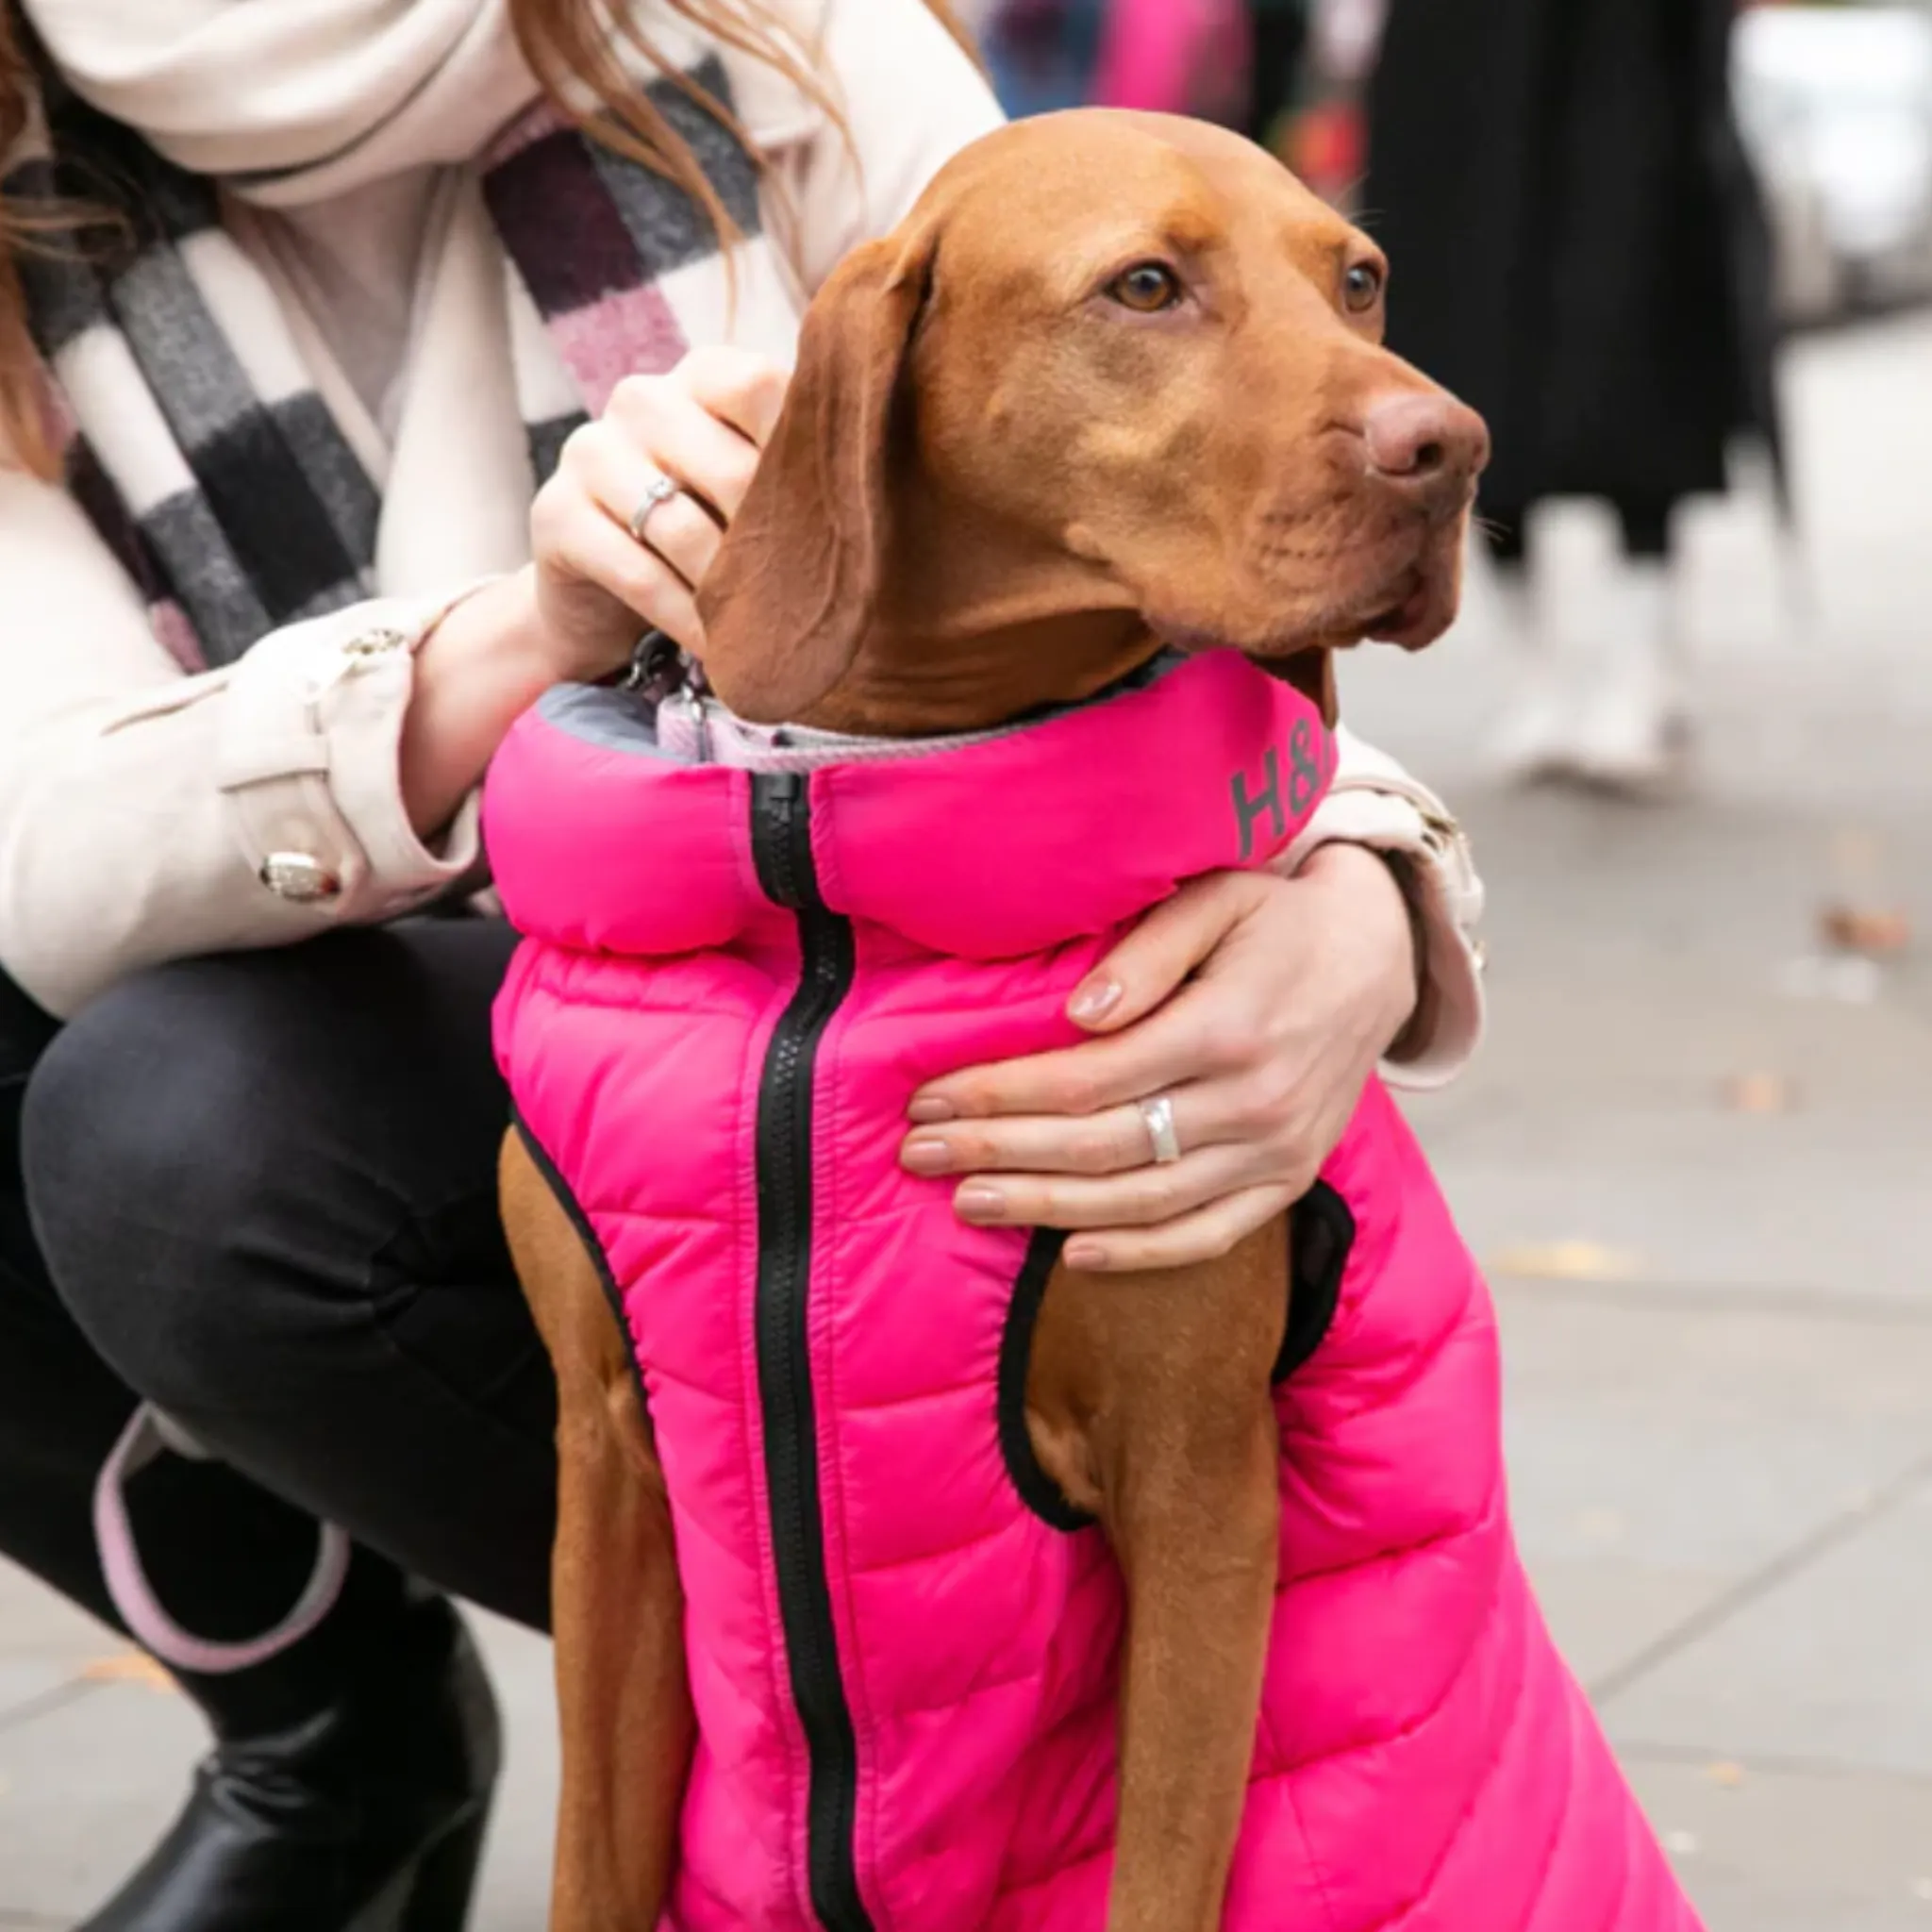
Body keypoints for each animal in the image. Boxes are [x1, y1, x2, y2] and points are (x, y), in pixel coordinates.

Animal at [498, 112, 1475, 1932]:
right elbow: (593, 1857)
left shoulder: (1199, 1485)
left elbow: (1164, 1876)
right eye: (1144, 286)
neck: (834, 839)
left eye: (1360, 277)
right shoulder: (609, 1458)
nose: (1450, 447)